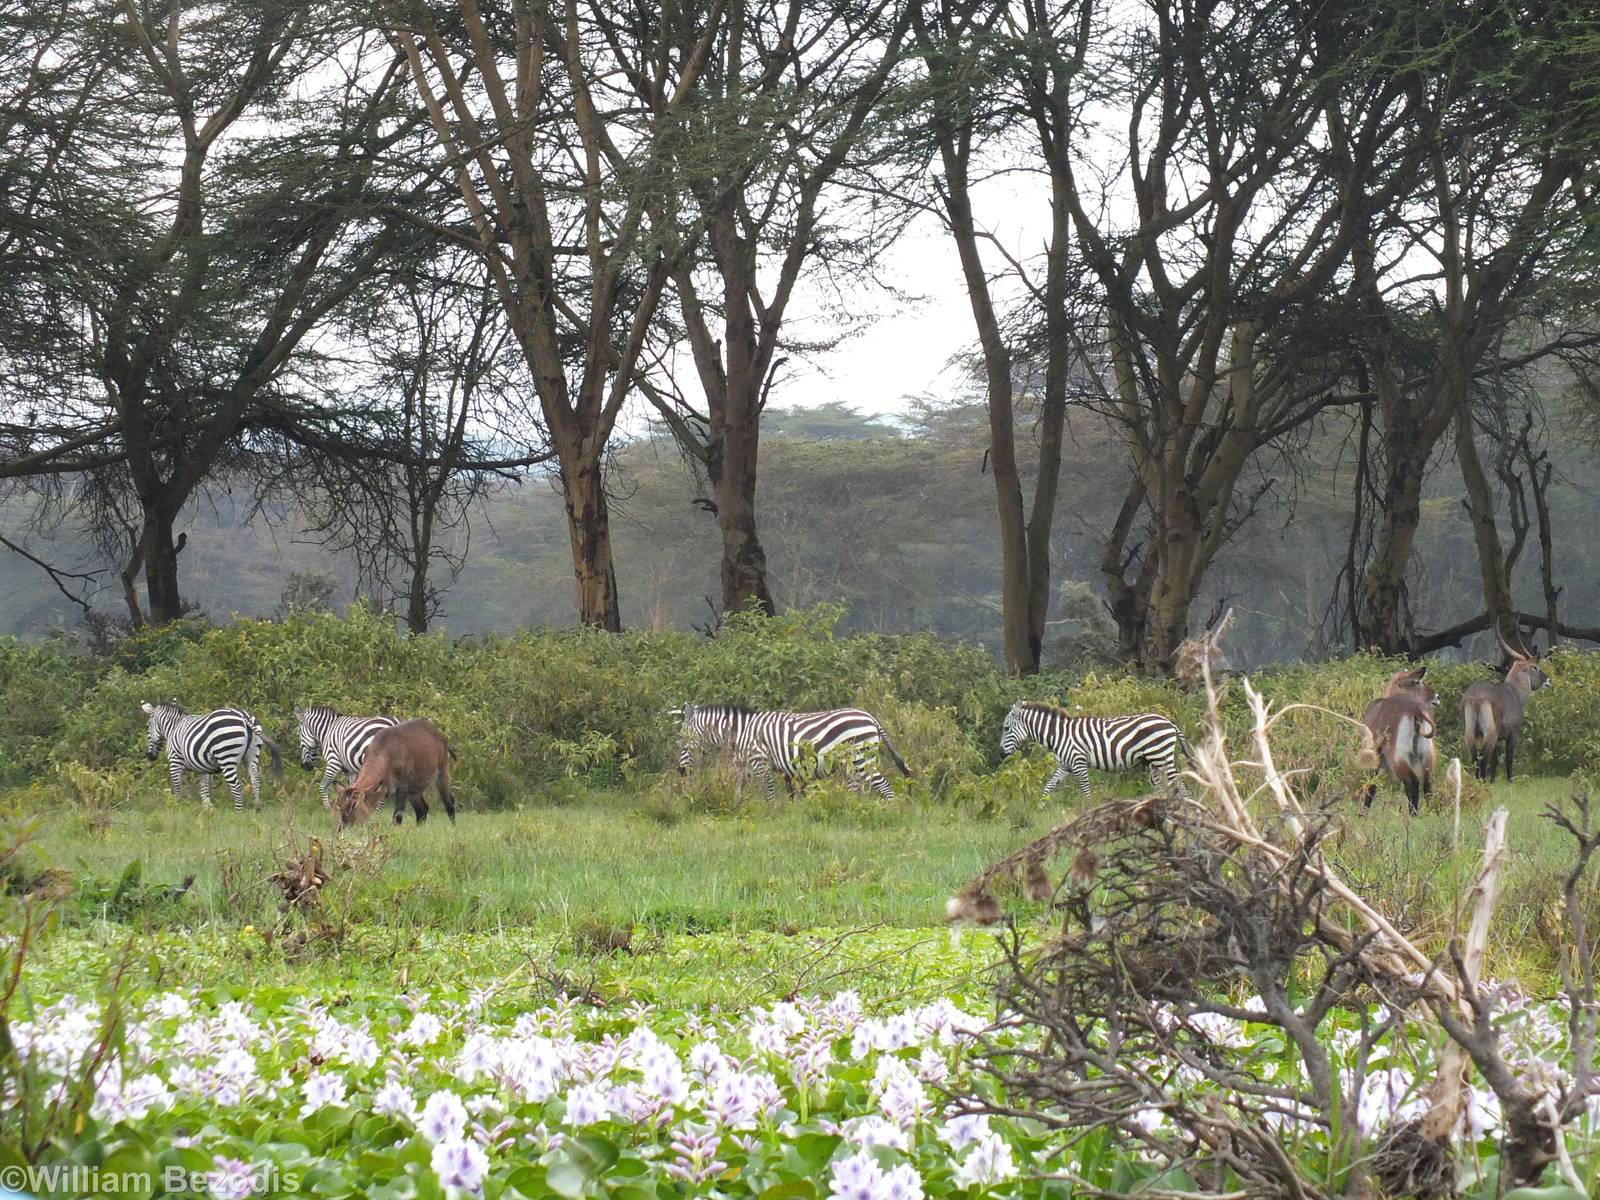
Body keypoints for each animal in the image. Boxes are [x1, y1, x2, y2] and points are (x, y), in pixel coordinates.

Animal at [142, 702, 281, 812]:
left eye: (147, 726)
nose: (149, 756)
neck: (173, 728)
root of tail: (244, 717)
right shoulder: (201, 765)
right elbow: (204, 788)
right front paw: (207, 808)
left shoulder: (175, 760)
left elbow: (176, 786)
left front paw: (175, 806)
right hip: (252, 756)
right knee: (255, 781)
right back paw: (257, 807)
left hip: (226, 757)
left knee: (237, 786)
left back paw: (238, 812)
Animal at [675, 703, 911, 802]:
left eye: (682, 740)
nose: (680, 772)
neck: (741, 733)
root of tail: (871, 718)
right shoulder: (748, 765)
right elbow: (739, 790)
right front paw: (736, 810)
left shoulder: (760, 762)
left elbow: (769, 793)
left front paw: (772, 815)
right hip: (852, 762)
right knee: (857, 788)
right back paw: (851, 809)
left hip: (862, 756)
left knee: (884, 786)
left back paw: (890, 811)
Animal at [999, 701, 1189, 800]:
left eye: (1006, 728)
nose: (1001, 754)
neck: (1060, 735)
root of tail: (1169, 723)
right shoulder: (1065, 765)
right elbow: (1049, 786)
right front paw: (1040, 806)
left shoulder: (1078, 763)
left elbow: (1086, 792)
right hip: (1153, 761)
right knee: (1162, 786)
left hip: (1160, 756)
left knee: (1180, 783)